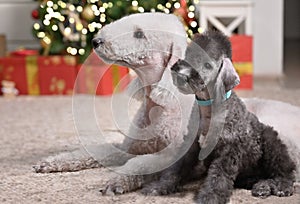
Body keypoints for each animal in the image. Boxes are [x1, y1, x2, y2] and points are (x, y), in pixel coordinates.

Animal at [170, 29, 296, 202]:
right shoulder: (192, 144)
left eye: (207, 65)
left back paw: (281, 187)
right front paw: (157, 187)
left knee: (285, 172)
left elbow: (218, 177)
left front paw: (210, 197)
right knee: (259, 178)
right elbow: (176, 168)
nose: (181, 75)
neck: (209, 109)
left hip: (272, 143)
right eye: (188, 56)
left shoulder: (229, 150)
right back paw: (261, 187)